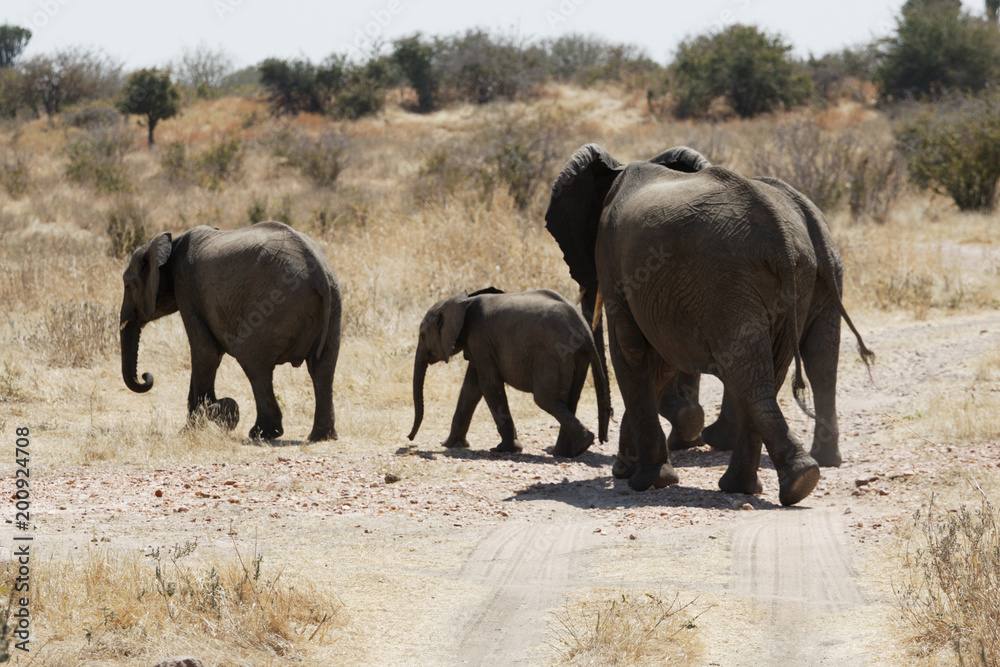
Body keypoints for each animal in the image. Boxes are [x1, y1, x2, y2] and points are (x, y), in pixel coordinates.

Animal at [119, 221, 342, 442]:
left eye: (127, 284)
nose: (146, 375)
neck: (172, 243)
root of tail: (319, 272)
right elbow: (209, 355)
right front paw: (195, 426)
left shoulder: (186, 288)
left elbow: (205, 353)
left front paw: (215, 416)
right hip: (332, 305)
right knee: (323, 365)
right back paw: (321, 436)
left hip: (277, 303)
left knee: (252, 360)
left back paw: (262, 433)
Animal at [407, 287, 610, 457]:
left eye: (422, 335)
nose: (410, 439)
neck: (461, 301)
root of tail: (586, 331)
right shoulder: (478, 346)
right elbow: (471, 389)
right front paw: (449, 444)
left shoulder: (480, 339)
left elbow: (489, 385)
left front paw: (505, 449)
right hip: (577, 356)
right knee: (569, 400)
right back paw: (566, 452)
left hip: (553, 354)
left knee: (546, 399)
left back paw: (582, 443)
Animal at [545, 144, 873, 506]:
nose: (599, 443)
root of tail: (782, 238)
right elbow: (659, 363)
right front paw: (636, 467)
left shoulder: (615, 263)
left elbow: (631, 352)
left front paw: (648, 480)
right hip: (795, 282)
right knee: (797, 365)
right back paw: (782, 480)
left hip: (727, 284)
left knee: (749, 371)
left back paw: (776, 476)